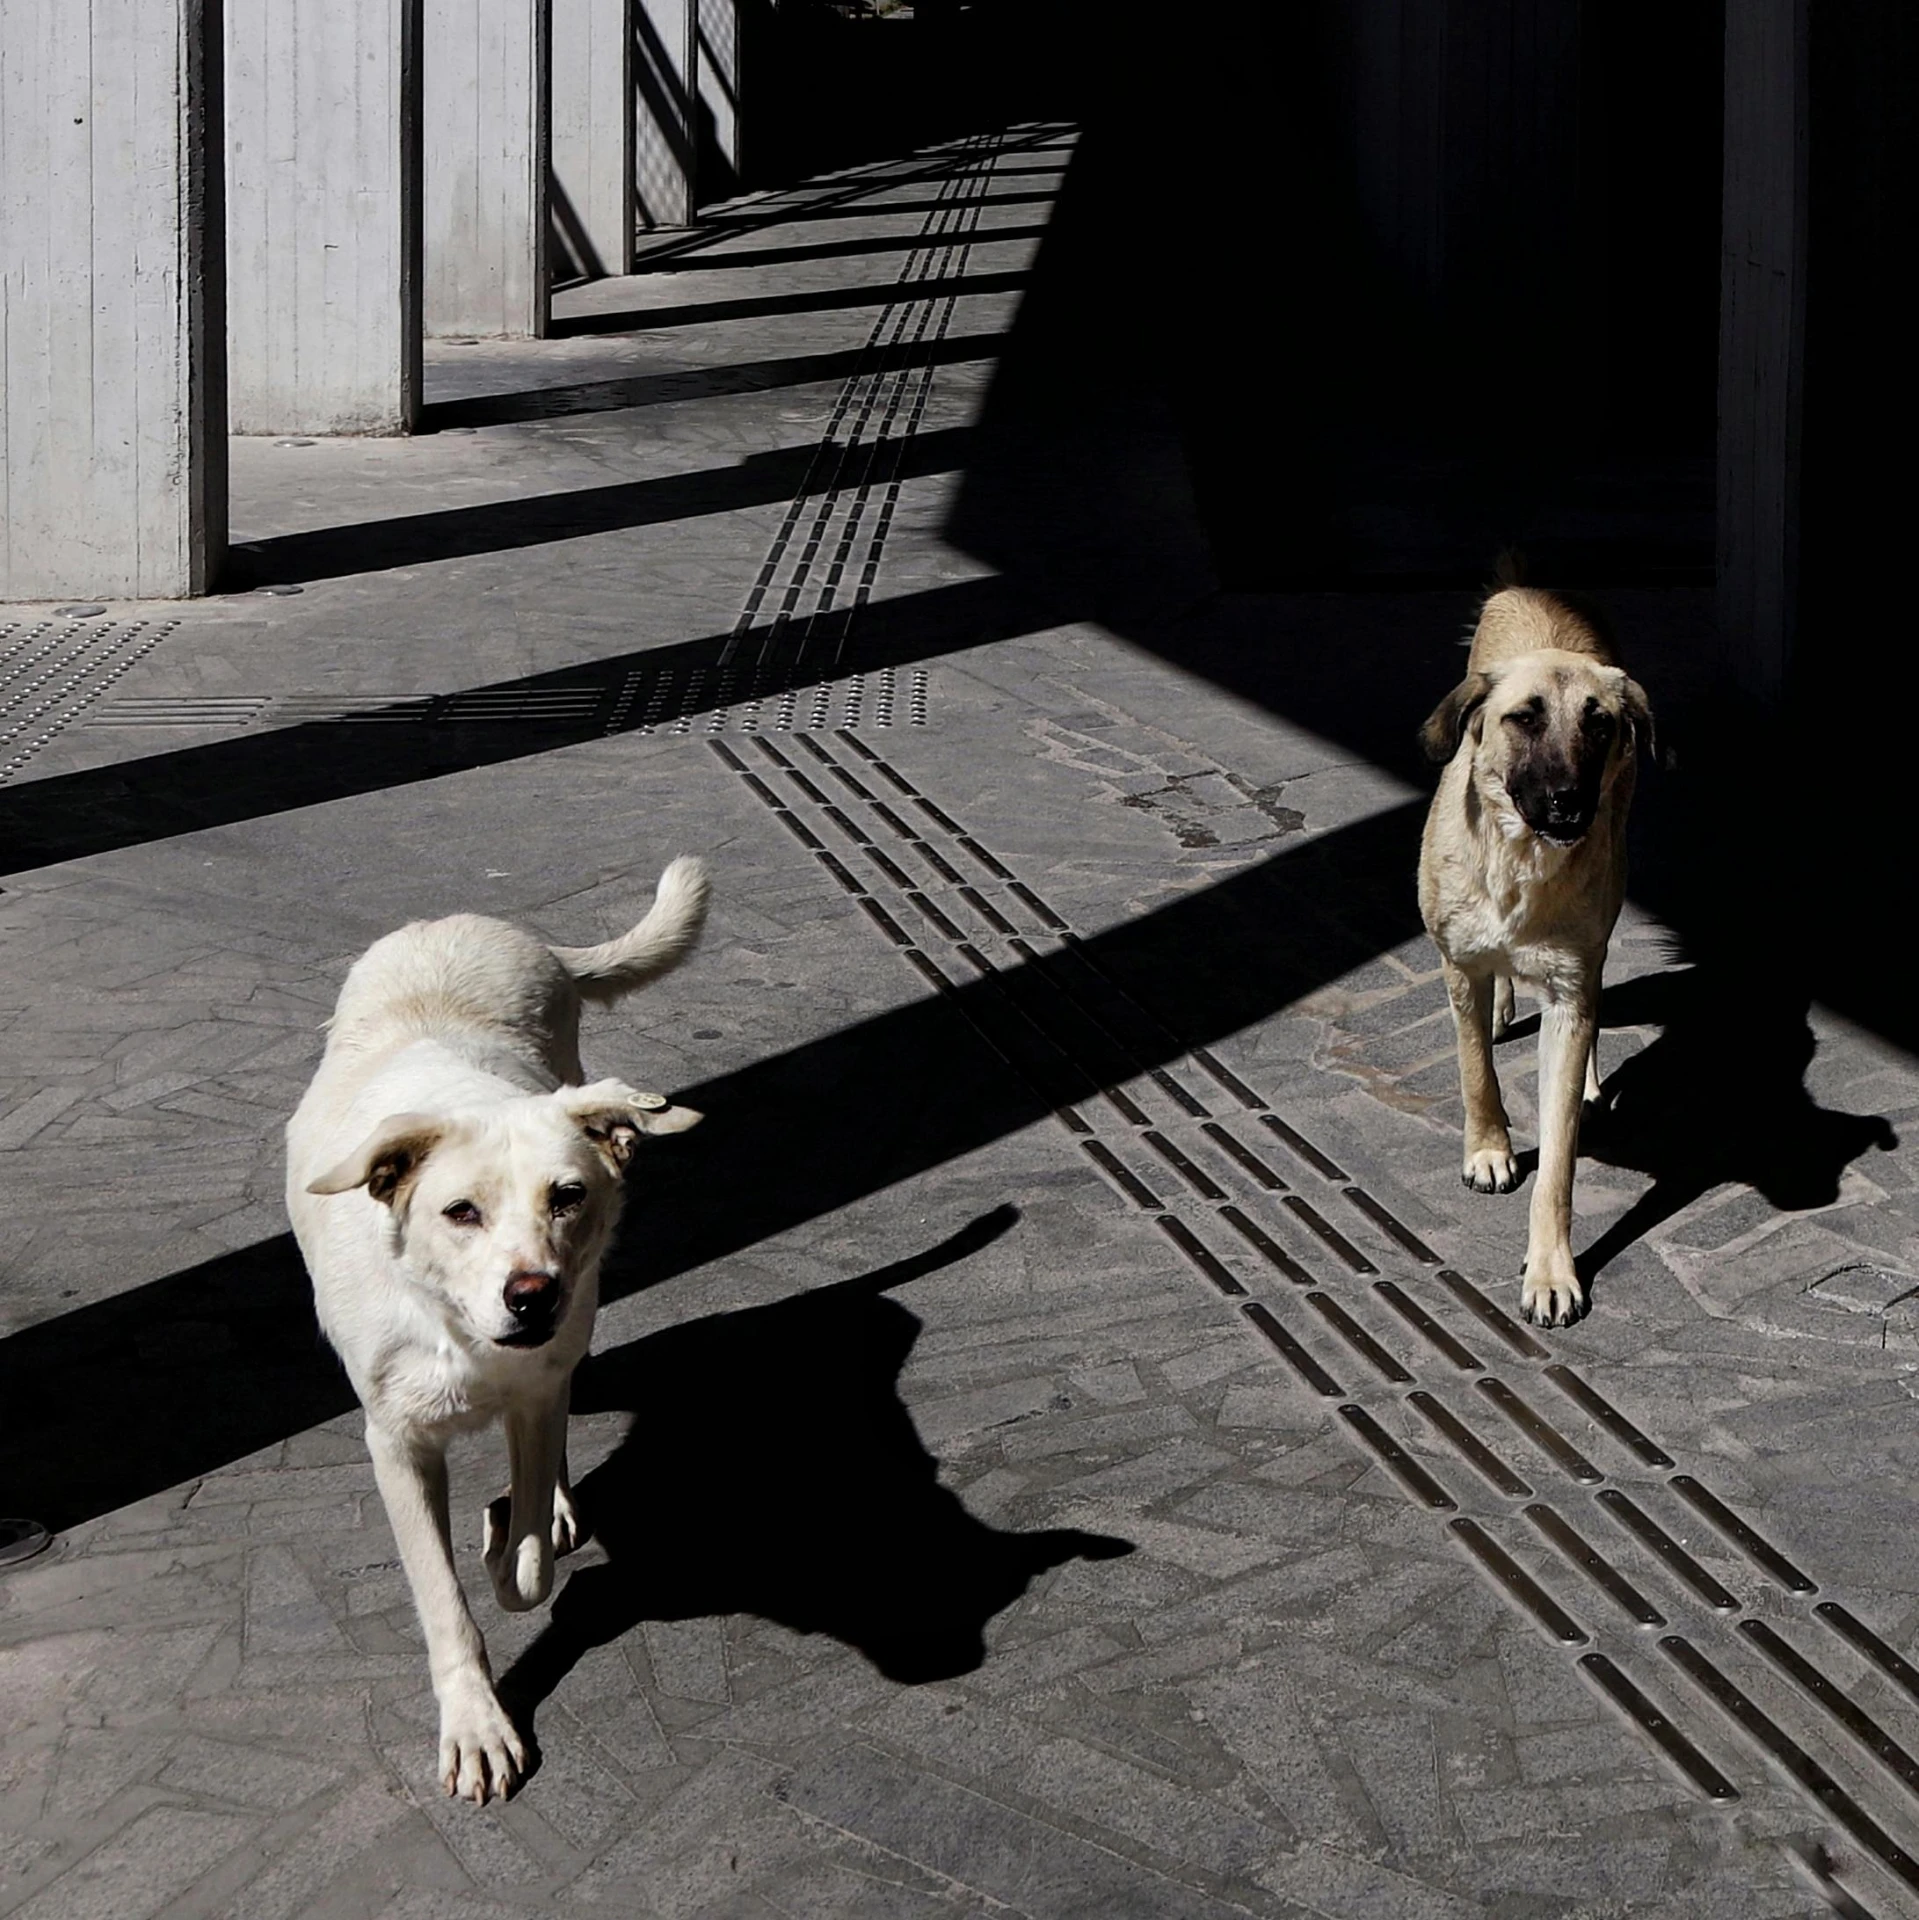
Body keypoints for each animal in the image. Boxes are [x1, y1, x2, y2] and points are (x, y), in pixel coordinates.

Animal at [280, 856, 710, 1797]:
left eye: (568, 1196)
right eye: (460, 1212)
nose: (532, 1296)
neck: (455, 1329)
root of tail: (476, 923)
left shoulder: (536, 1391)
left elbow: (527, 1568)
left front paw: (502, 1538)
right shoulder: (396, 1444)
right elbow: (444, 1601)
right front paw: (475, 1720)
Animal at [1421, 583, 1659, 1328]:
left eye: (1600, 725)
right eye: (1523, 718)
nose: (1568, 803)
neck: (1522, 863)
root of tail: (1530, 587)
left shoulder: (1569, 986)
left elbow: (1557, 1161)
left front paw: (1552, 1271)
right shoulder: (1458, 965)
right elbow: (1474, 1070)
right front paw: (1488, 1150)